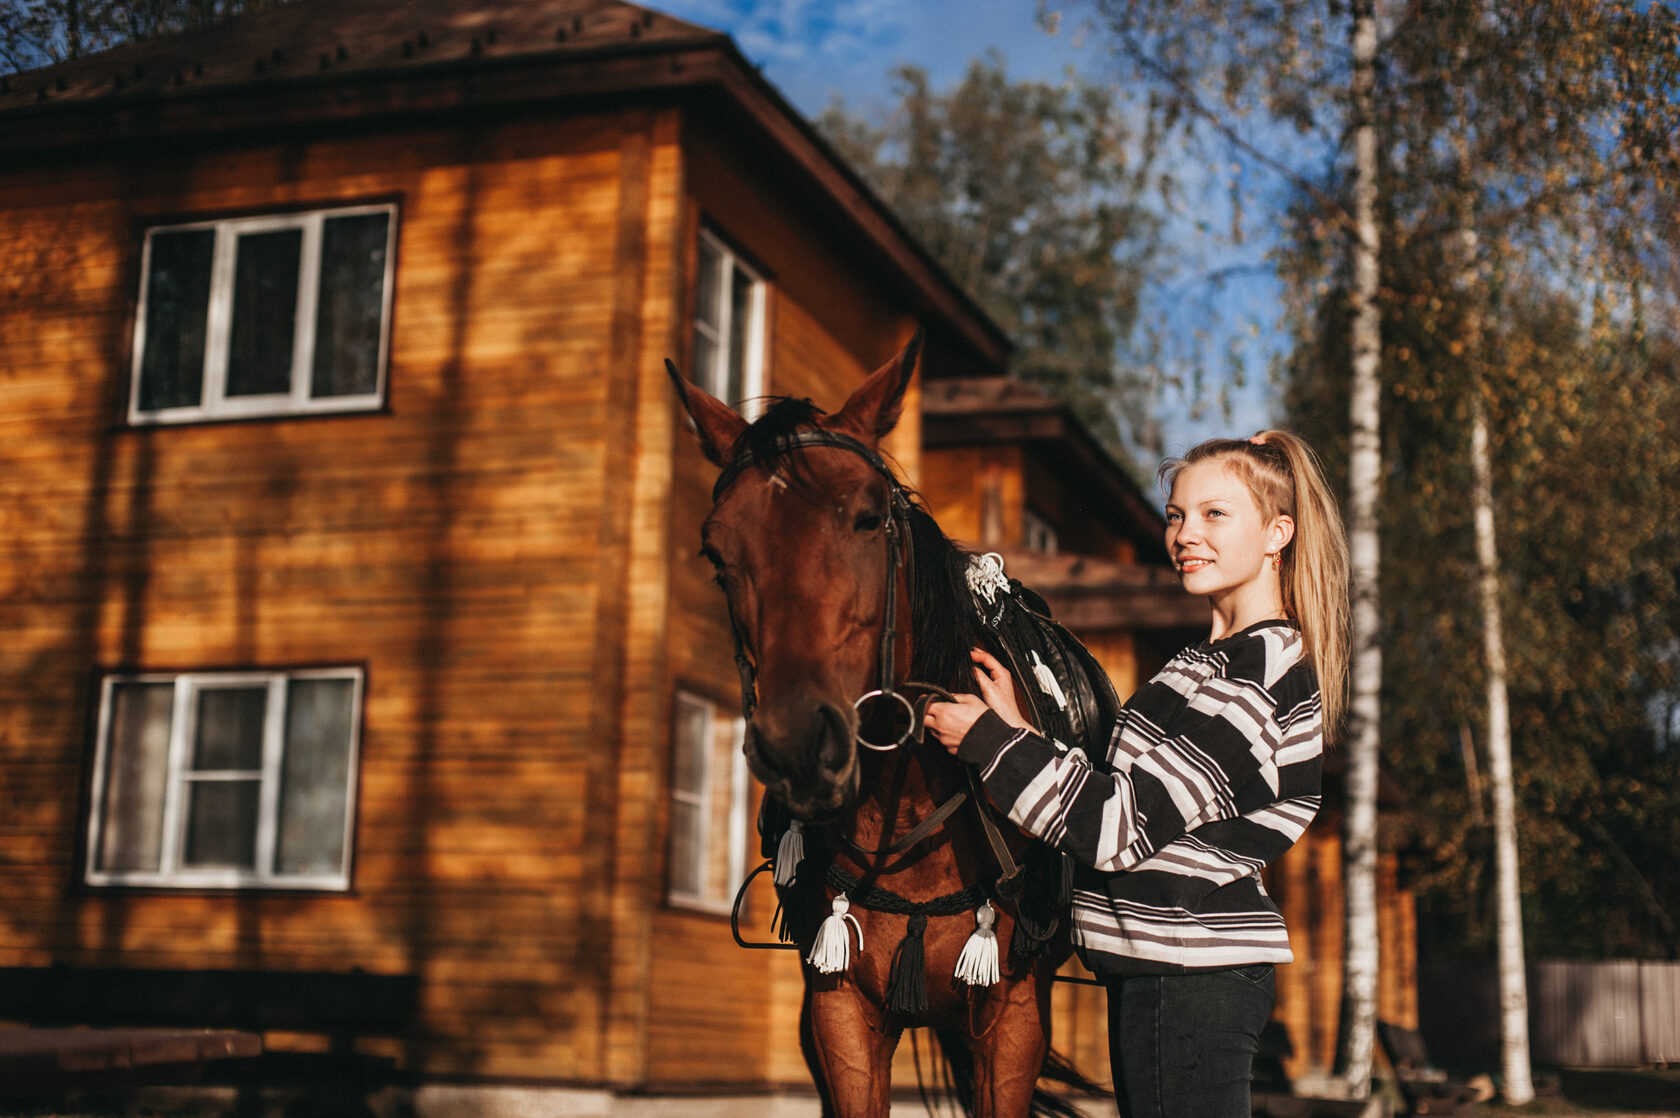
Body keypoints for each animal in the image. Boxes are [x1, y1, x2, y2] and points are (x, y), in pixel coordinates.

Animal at [668, 332, 1088, 1116]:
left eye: (867, 517)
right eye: (716, 552)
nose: (798, 745)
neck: (915, 816)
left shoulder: (1012, 1017)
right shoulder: (837, 1011)